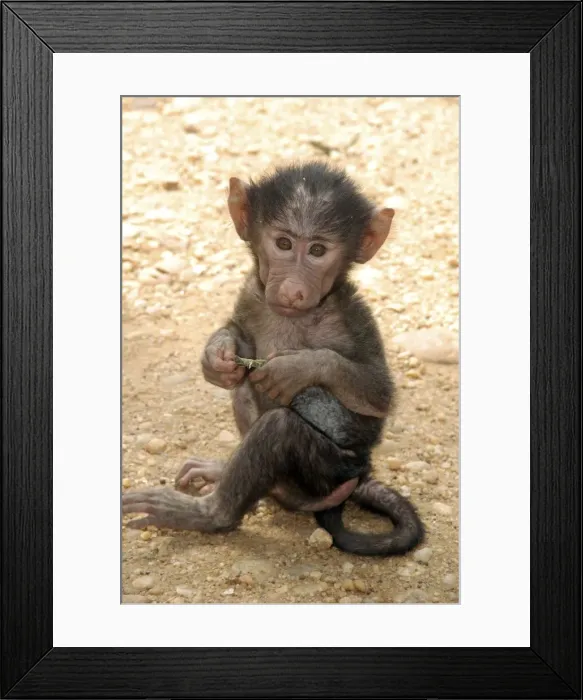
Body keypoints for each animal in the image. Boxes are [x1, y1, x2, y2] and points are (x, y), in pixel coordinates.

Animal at [123, 161, 424, 556]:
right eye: (283, 244)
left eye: (317, 250)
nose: (294, 289)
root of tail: (363, 476)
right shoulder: (252, 292)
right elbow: (237, 334)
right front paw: (216, 355)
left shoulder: (353, 316)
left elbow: (379, 394)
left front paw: (295, 368)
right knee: (245, 384)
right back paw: (228, 473)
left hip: (327, 472)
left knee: (280, 427)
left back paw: (208, 513)